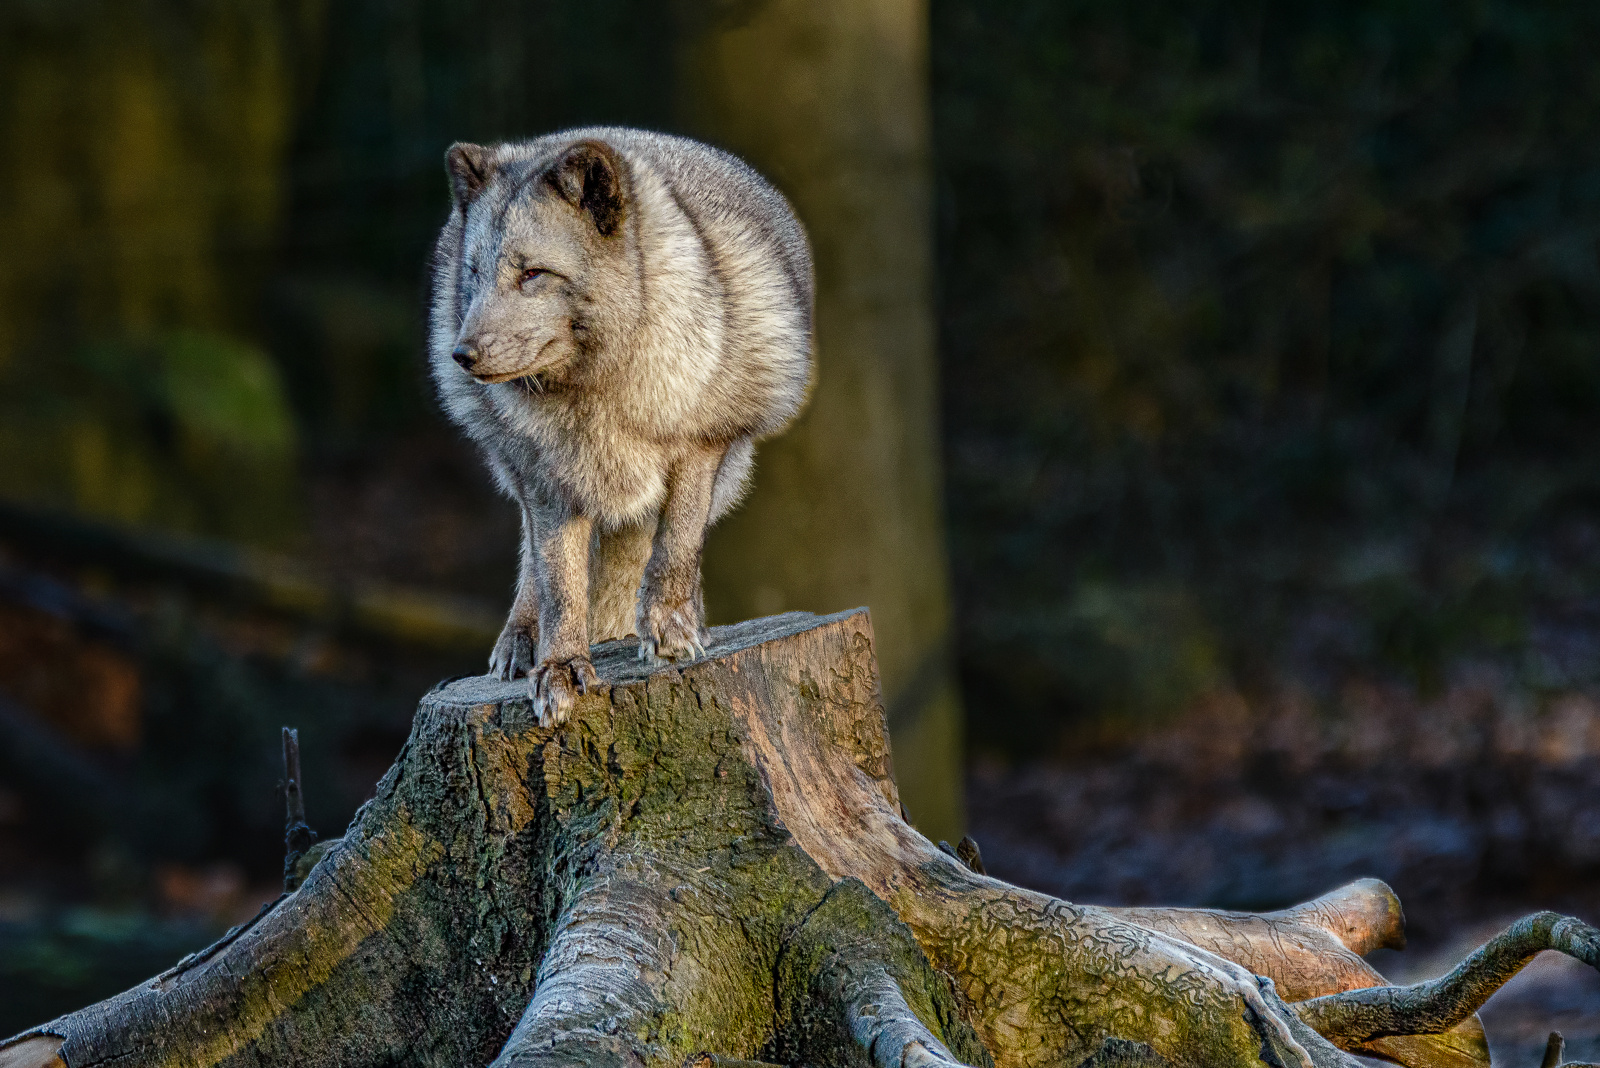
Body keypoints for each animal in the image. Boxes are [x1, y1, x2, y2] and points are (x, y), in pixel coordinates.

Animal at [428, 125, 812, 725]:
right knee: (534, 557)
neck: (597, 397)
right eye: (474, 275)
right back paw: (522, 639)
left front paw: (669, 627)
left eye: (532, 274)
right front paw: (559, 666)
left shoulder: (702, 442)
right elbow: (559, 581)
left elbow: (677, 541)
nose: (462, 356)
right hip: (518, 467)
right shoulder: (549, 476)